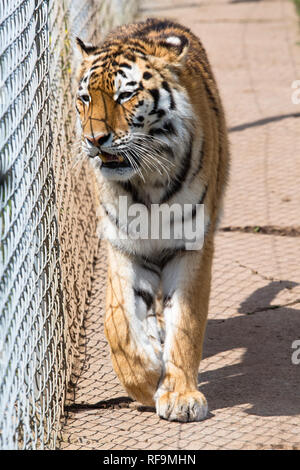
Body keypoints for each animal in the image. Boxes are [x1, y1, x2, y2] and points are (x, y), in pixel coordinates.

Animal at [75, 17, 230, 422]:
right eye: (85, 99)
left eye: (124, 96)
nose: (94, 140)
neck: (147, 181)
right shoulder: (124, 246)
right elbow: (118, 326)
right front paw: (145, 379)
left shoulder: (191, 246)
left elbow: (186, 324)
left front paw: (179, 396)